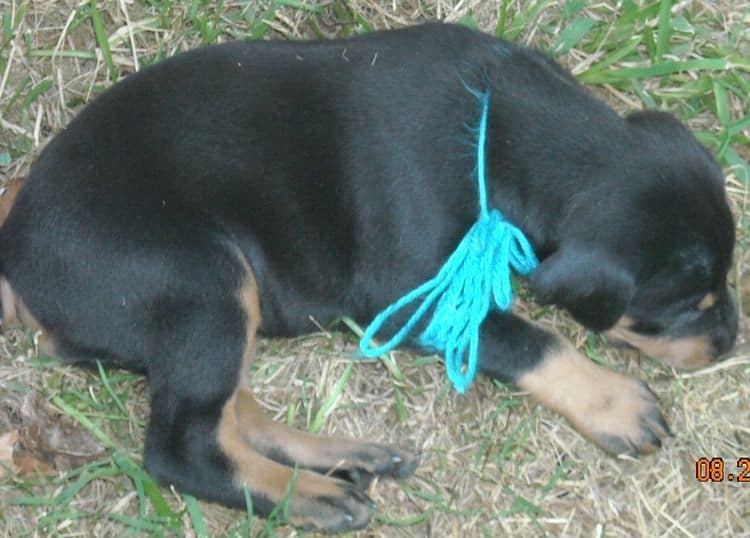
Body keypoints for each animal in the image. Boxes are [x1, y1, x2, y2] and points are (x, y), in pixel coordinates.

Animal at [0, 24, 740, 528]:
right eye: (685, 306)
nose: (730, 342)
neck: (501, 129)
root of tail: (15, 249)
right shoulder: (410, 296)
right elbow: (533, 338)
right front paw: (616, 403)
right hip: (202, 277)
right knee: (180, 445)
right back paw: (309, 495)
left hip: (206, 307)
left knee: (226, 410)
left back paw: (340, 453)